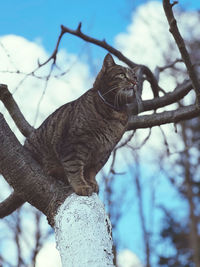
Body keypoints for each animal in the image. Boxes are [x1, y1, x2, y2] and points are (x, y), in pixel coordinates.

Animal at [24, 54, 138, 197]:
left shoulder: (104, 151)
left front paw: (92, 183)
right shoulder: (75, 143)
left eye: (135, 77)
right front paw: (81, 186)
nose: (135, 83)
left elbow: (92, 171)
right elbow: (74, 168)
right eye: (122, 75)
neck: (115, 111)